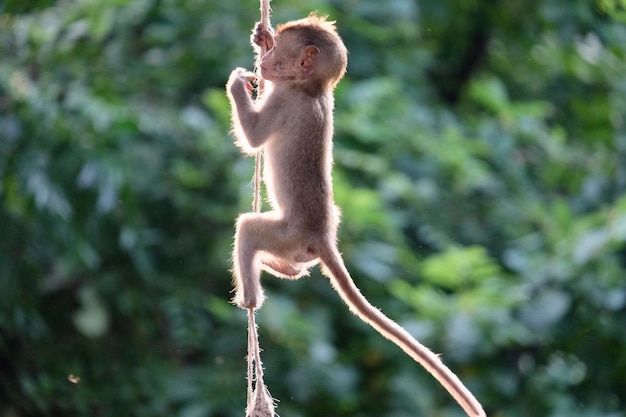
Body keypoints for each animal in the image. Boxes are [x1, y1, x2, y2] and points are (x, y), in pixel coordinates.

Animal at [227, 13, 486, 416]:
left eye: (279, 56)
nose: (265, 62)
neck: (311, 89)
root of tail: (321, 237)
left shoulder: (284, 100)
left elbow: (254, 138)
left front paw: (238, 81)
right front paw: (261, 36)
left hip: (287, 233)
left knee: (249, 229)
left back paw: (250, 299)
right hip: (304, 238)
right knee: (293, 260)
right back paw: (285, 270)